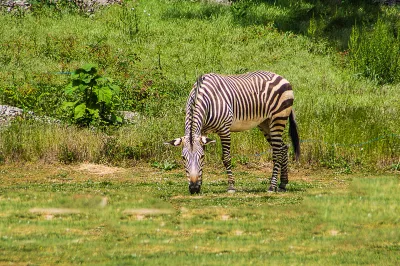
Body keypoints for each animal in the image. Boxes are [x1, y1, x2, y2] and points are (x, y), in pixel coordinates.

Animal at [166, 70, 300, 194]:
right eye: (183, 158)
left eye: (201, 156)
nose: (193, 188)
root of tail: (281, 77)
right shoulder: (203, 132)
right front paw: (200, 184)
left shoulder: (224, 129)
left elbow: (226, 158)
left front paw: (231, 186)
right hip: (265, 123)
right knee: (283, 147)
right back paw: (283, 183)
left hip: (278, 119)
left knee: (277, 152)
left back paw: (272, 186)